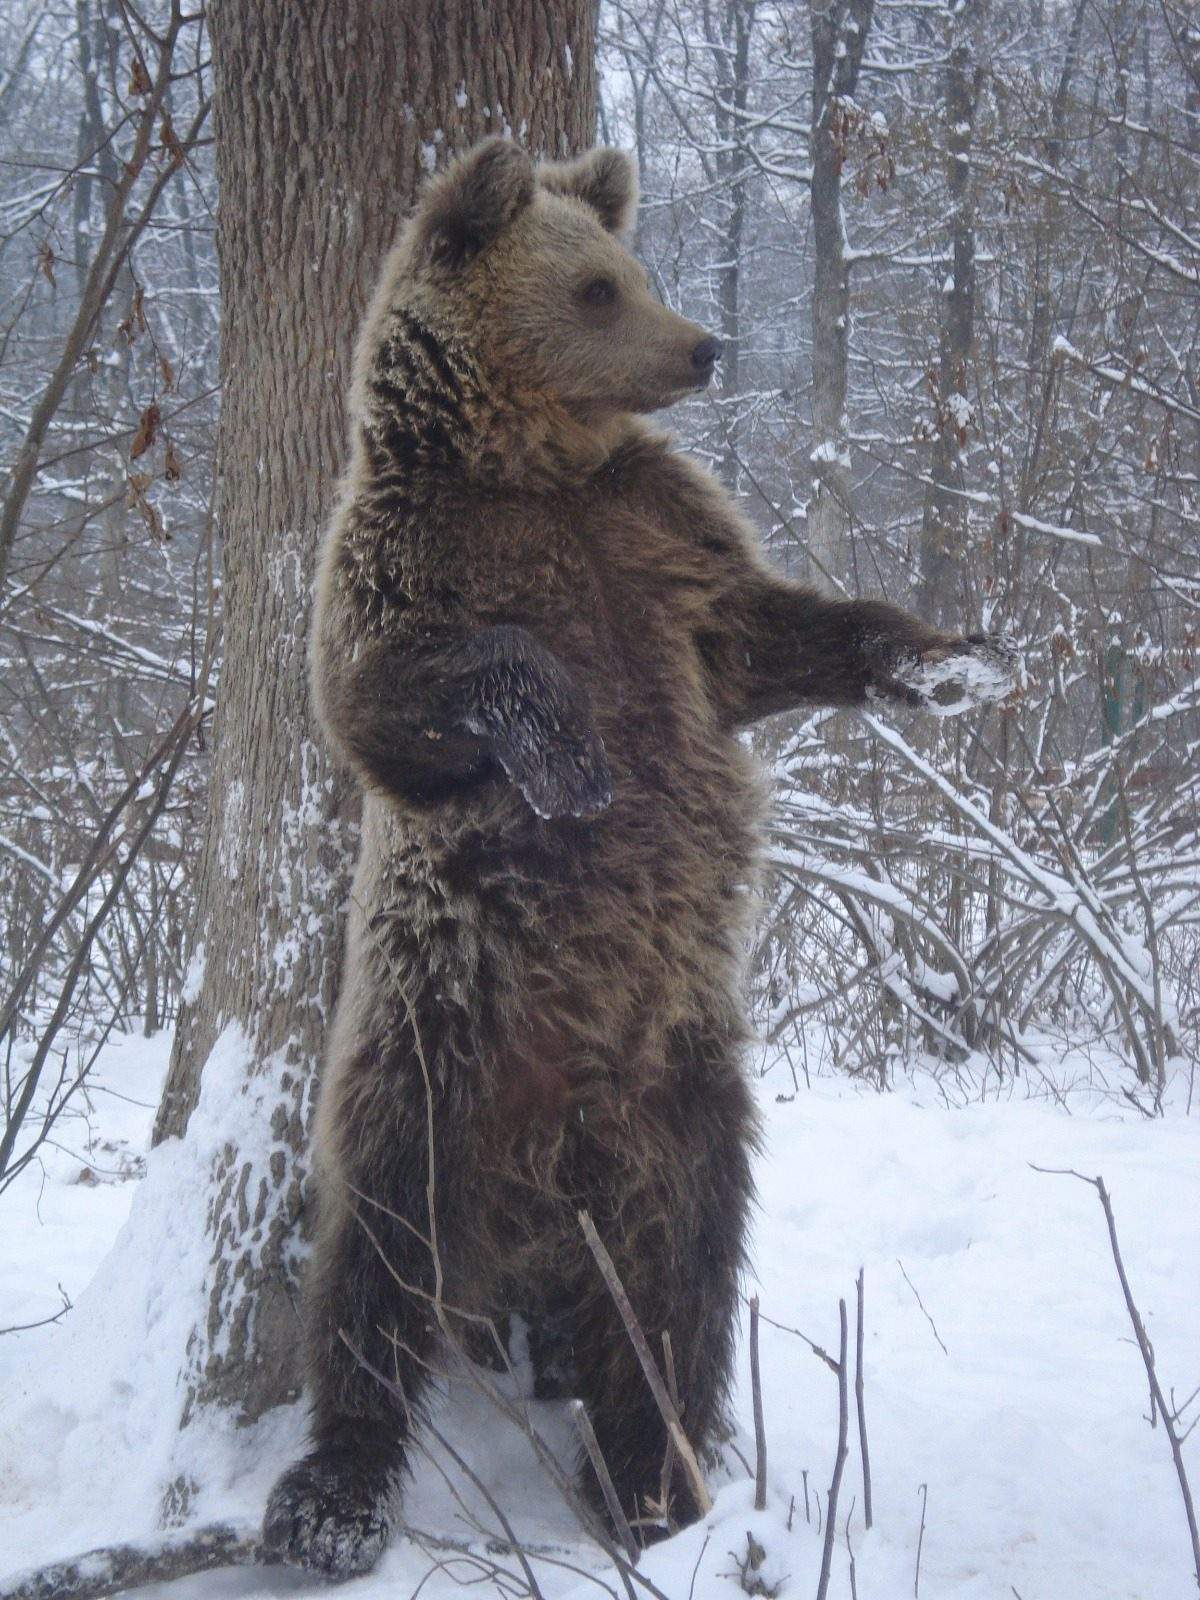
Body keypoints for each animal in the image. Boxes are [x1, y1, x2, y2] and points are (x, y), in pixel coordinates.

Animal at [262, 137, 1017, 1574]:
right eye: (599, 287)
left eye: (634, 266)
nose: (704, 347)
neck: (529, 466)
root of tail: (547, 1177)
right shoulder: (401, 561)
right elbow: (396, 694)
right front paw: (570, 753)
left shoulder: (666, 547)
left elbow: (780, 628)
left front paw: (958, 662)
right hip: (432, 1042)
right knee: (378, 1253)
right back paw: (332, 1494)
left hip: (682, 1094)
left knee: (676, 1283)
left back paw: (650, 1477)